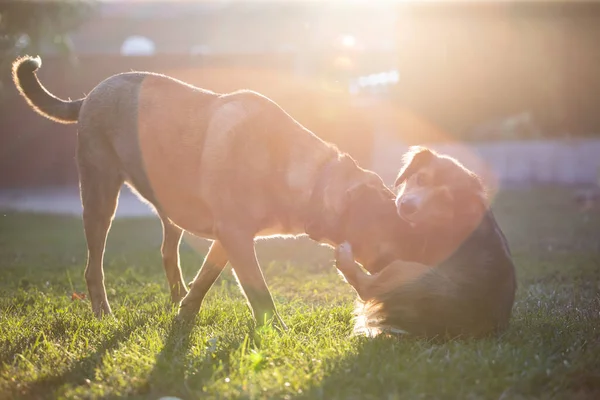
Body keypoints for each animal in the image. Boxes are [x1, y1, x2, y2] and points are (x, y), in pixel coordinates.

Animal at [12, 54, 412, 326]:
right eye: (392, 223)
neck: (310, 177)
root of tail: (89, 95)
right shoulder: (235, 235)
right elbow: (260, 294)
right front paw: (277, 333)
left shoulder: (229, 238)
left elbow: (205, 279)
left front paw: (185, 311)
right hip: (99, 197)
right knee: (93, 266)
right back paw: (103, 312)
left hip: (168, 205)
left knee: (167, 251)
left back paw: (174, 295)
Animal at [332, 147, 516, 338]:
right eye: (421, 178)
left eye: (443, 200)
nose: (406, 207)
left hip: (408, 271)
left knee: (367, 288)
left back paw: (344, 257)